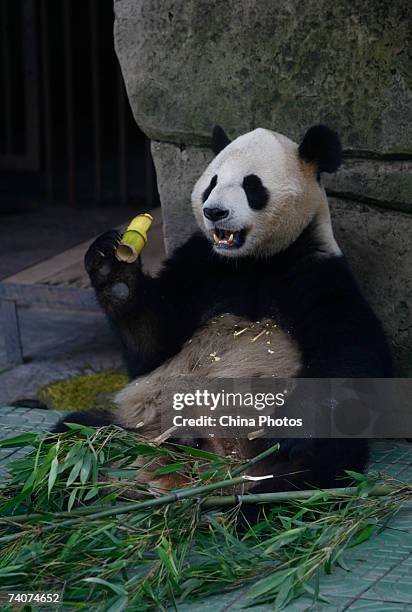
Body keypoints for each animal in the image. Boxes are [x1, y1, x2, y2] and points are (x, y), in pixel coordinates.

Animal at [54, 124, 392, 498]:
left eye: (252, 185)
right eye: (212, 183)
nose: (214, 212)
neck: (252, 261)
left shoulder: (316, 271)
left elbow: (350, 352)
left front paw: (297, 426)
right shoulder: (201, 266)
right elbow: (154, 344)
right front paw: (113, 274)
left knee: (309, 466)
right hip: (134, 424)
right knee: (74, 435)